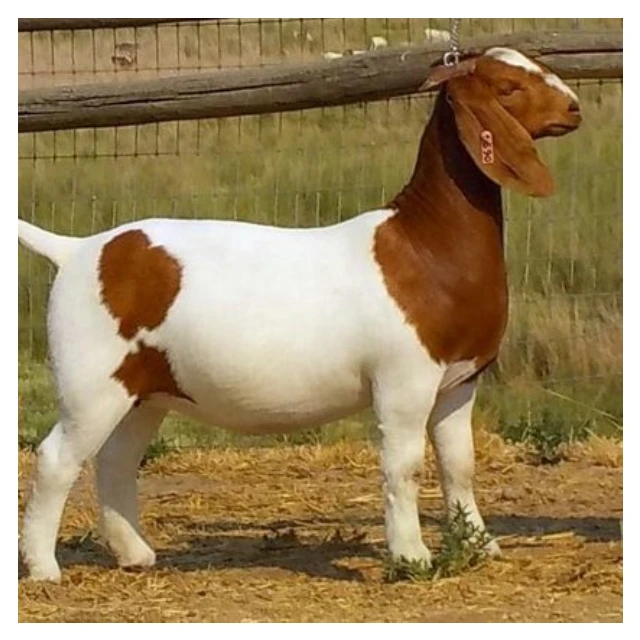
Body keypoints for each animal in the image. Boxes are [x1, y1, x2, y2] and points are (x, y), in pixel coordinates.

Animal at [18, 47, 581, 581]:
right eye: (507, 87)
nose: (574, 108)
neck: (423, 245)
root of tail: (76, 250)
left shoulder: (459, 381)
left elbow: (459, 465)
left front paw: (480, 547)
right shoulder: (404, 379)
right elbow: (405, 468)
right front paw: (412, 558)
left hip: (144, 389)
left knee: (115, 460)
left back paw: (135, 555)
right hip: (91, 381)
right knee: (57, 459)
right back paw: (44, 567)